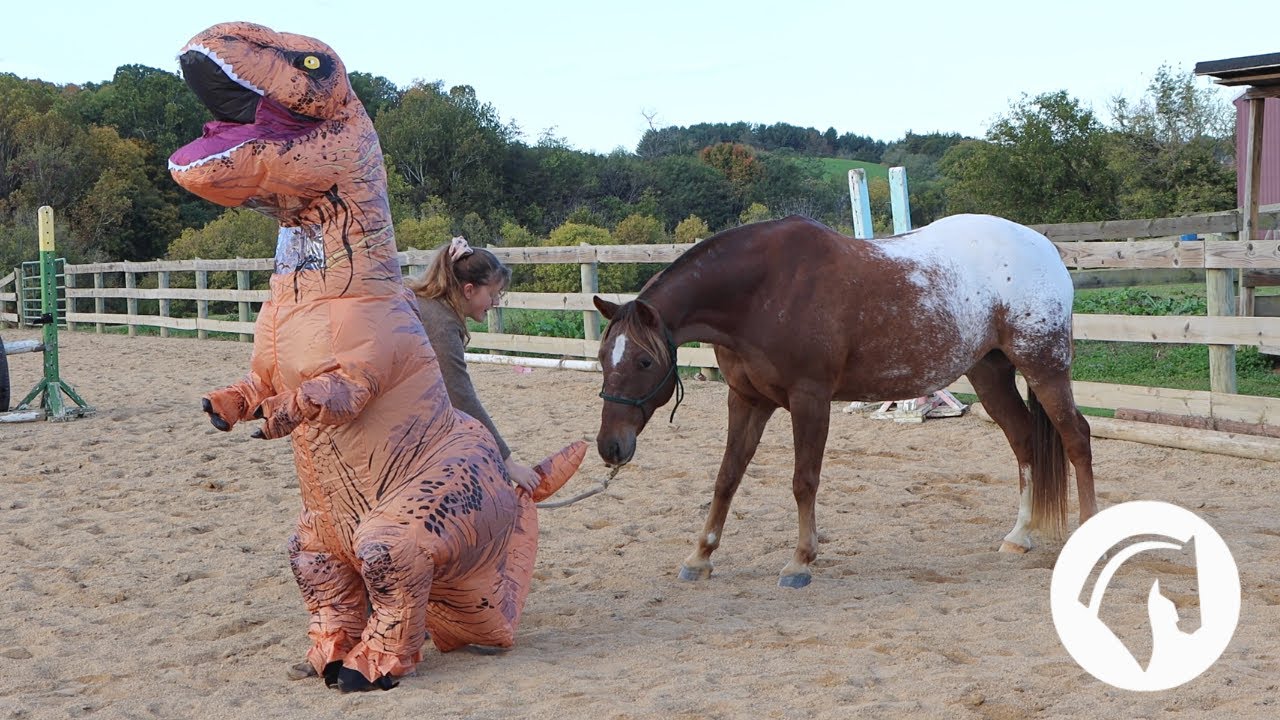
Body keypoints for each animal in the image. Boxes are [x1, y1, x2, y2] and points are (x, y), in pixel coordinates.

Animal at [592, 213, 1096, 588]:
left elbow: (804, 481)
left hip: (1045, 367)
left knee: (1076, 438)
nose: (610, 447)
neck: (763, 291)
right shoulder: (746, 400)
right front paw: (700, 557)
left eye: (642, 361)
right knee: (1024, 441)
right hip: (989, 372)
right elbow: (727, 478)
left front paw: (800, 561)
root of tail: (1045, 248)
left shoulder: (809, 399)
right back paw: (1019, 536)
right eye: (602, 356)